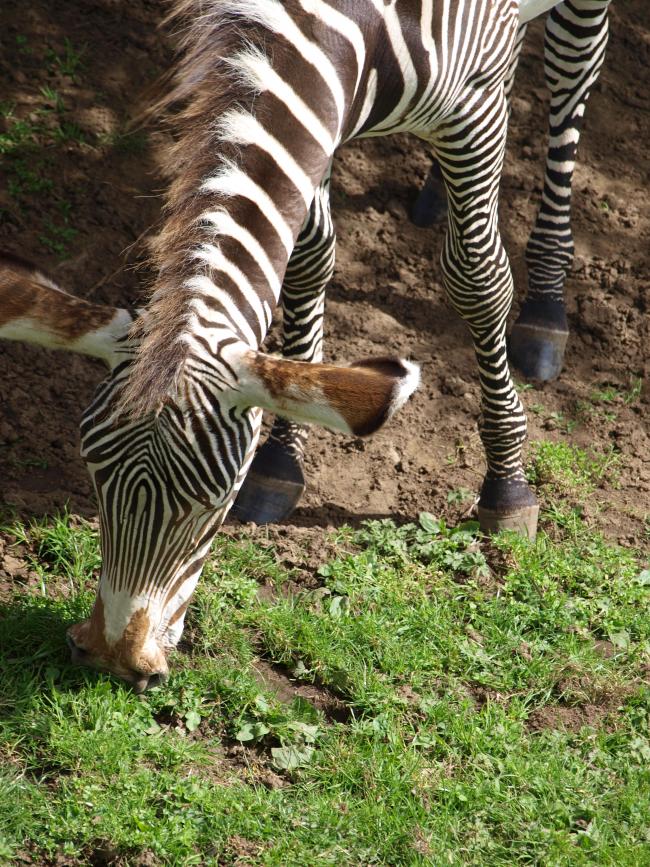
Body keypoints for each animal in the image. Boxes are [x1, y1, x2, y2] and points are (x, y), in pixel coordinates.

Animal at [0, 0, 608, 692]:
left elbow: (476, 276)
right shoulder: (311, 122)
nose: (110, 659)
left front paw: (506, 479)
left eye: (215, 503)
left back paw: (546, 308)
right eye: (93, 476)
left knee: (572, 71)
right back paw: (432, 193)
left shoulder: (473, 108)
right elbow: (308, 263)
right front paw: (283, 454)